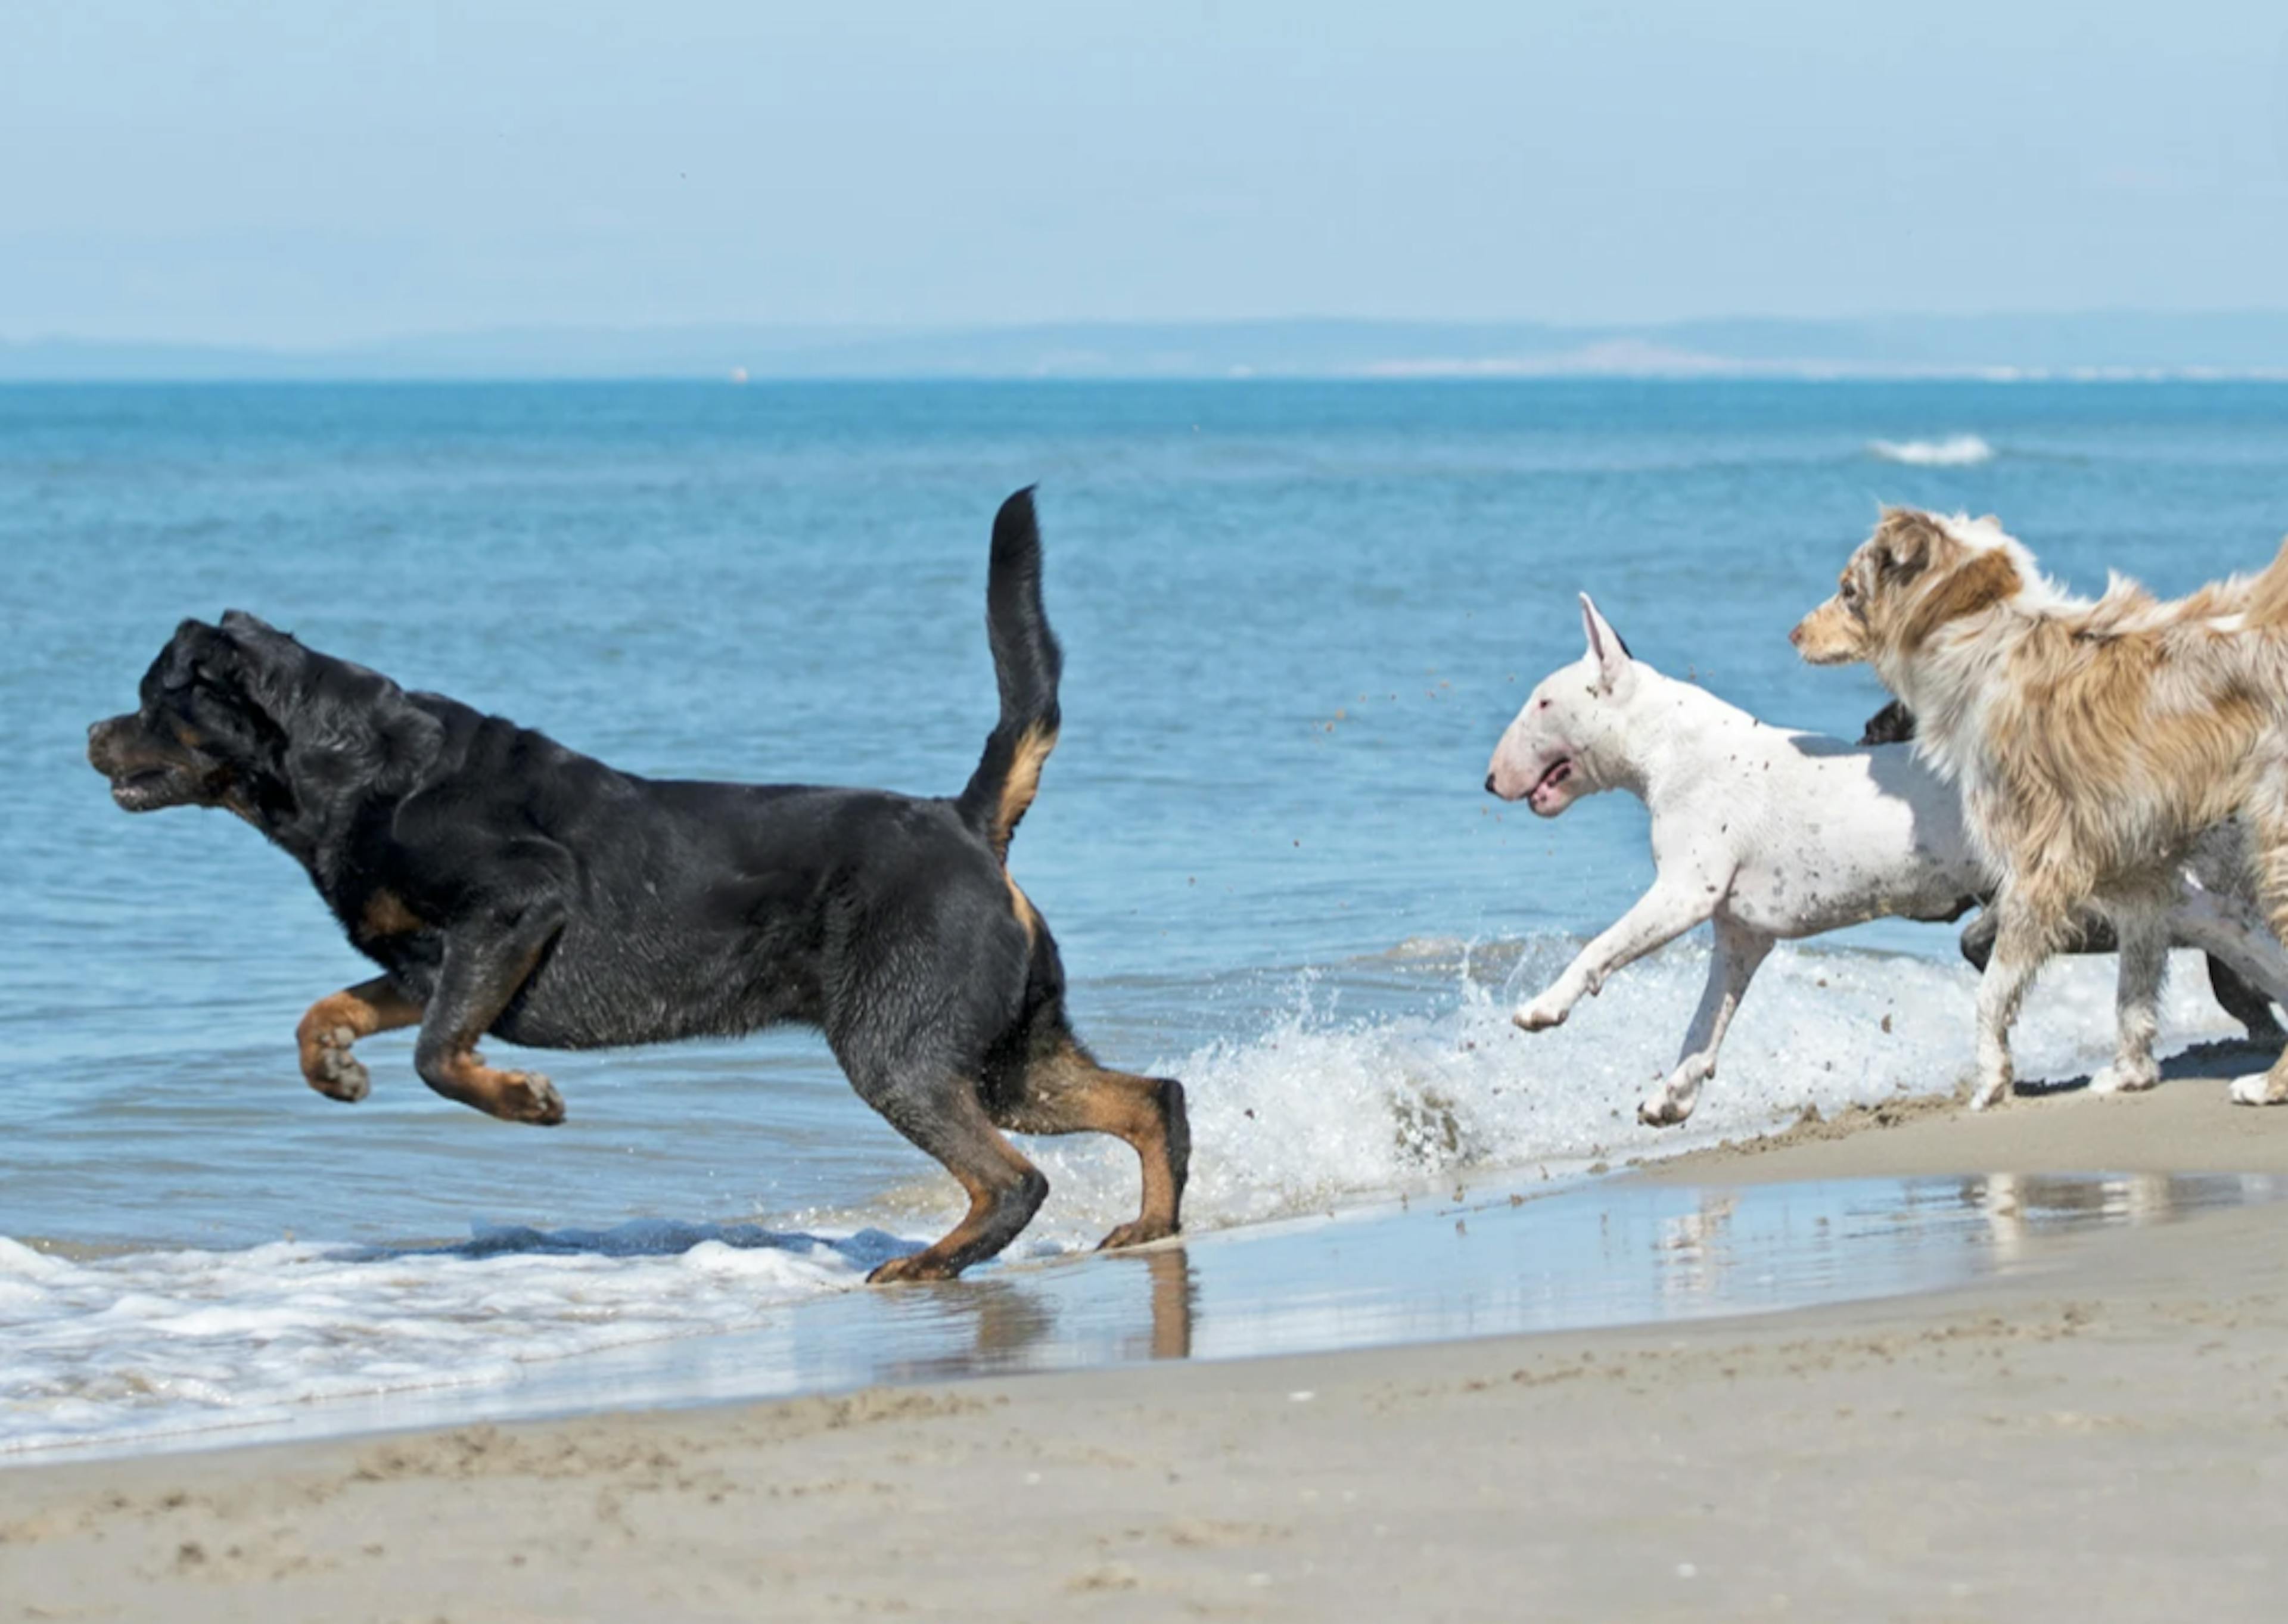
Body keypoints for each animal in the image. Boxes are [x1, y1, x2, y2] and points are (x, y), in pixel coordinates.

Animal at [85, 489, 1199, 1281]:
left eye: (151, 696)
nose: (92, 730)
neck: (353, 770)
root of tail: (964, 821)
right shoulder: (425, 963)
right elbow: (330, 1009)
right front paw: (334, 1068)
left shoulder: (513, 906)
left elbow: (441, 1057)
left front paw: (522, 1099)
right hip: (1003, 1049)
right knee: (1151, 1098)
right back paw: (1147, 1223)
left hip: (901, 1045)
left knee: (1012, 1177)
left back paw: (929, 1263)